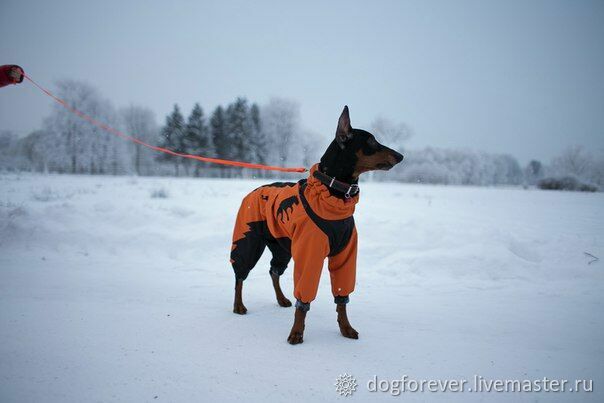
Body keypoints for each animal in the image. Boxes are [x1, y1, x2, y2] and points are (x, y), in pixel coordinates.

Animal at [229, 105, 404, 344]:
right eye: (371, 141)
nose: (401, 156)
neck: (335, 192)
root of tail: (253, 190)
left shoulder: (345, 253)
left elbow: (342, 297)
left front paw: (346, 328)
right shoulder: (309, 253)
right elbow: (303, 300)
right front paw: (296, 331)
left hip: (282, 246)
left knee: (274, 271)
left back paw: (281, 299)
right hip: (249, 239)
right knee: (240, 274)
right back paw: (238, 305)